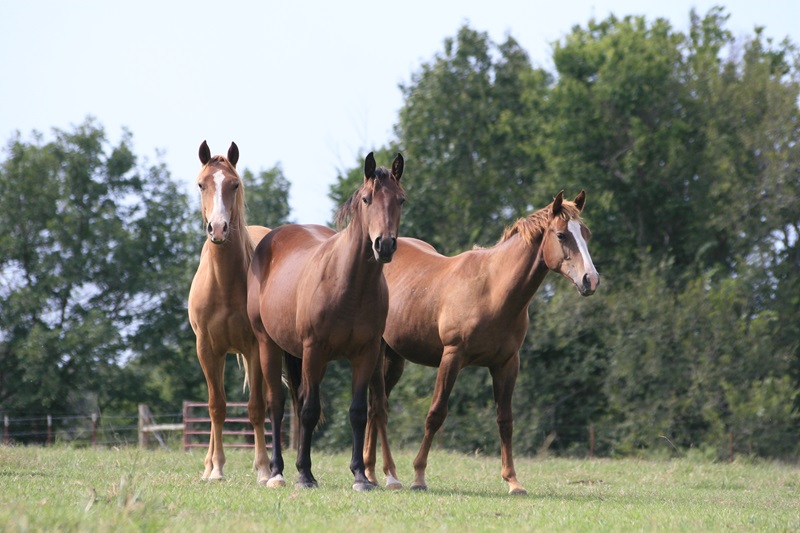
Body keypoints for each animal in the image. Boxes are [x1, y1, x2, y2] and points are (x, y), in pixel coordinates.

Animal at [247, 152, 406, 491]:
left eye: (401, 200)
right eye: (367, 199)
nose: (384, 245)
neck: (349, 283)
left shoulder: (366, 354)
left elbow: (357, 412)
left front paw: (360, 475)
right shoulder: (315, 351)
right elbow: (309, 411)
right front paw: (305, 475)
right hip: (269, 345)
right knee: (277, 405)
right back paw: (277, 472)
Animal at [364, 190, 600, 495]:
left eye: (586, 233)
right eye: (561, 235)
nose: (590, 279)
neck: (492, 291)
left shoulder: (506, 364)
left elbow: (505, 420)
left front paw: (513, 481)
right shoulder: (452, 357)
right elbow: (436, 414)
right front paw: (419, 476)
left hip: (394, 358)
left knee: (374, 406)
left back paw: (370, 473)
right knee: (378, 406)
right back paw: (386, 475)